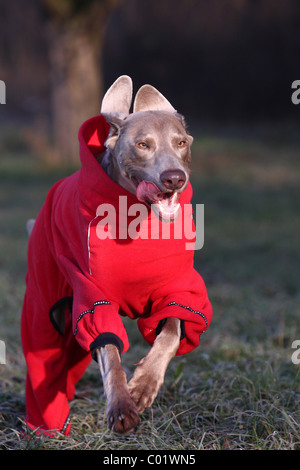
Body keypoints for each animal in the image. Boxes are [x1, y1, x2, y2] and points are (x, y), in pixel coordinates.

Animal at [21, 75, 213, 436]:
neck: (138, 221)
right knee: (46, 356)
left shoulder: (177, 288)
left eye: (181, 142)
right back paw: (46, 421)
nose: (174, 177)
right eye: (143, 144)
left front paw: (143, 385)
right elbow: (108, 347)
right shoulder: (91, 294)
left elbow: (171, 331)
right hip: (46, 301)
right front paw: (122, 406)